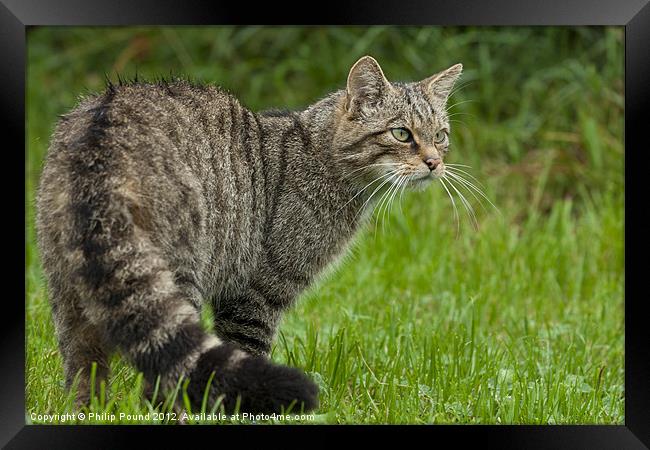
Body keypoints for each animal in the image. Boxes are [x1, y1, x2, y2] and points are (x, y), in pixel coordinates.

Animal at [35, 56, 460, 414]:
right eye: (402, 134)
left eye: (440, 135)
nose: (434, 162)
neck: (320, 157)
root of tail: (100, 140)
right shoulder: (254, 293)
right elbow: (248, 352)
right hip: (177, 277)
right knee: (163, 380)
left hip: (70, 295)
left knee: (83, 371)